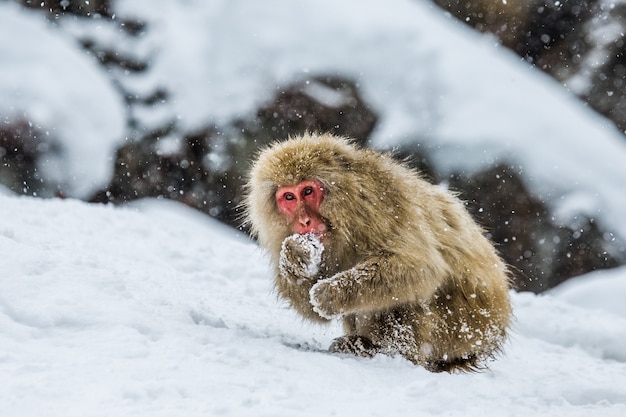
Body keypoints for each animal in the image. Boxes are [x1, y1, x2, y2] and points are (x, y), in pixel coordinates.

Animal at [241, 132, 510, 370]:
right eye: (289, 197)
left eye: (307, 191)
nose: (304, 221)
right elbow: (315, 312)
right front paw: (294, 258)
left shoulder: (377, 203)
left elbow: (421, 267)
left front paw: (330, 294)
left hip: (461, 330)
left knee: (410, 295)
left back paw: (380, 350)